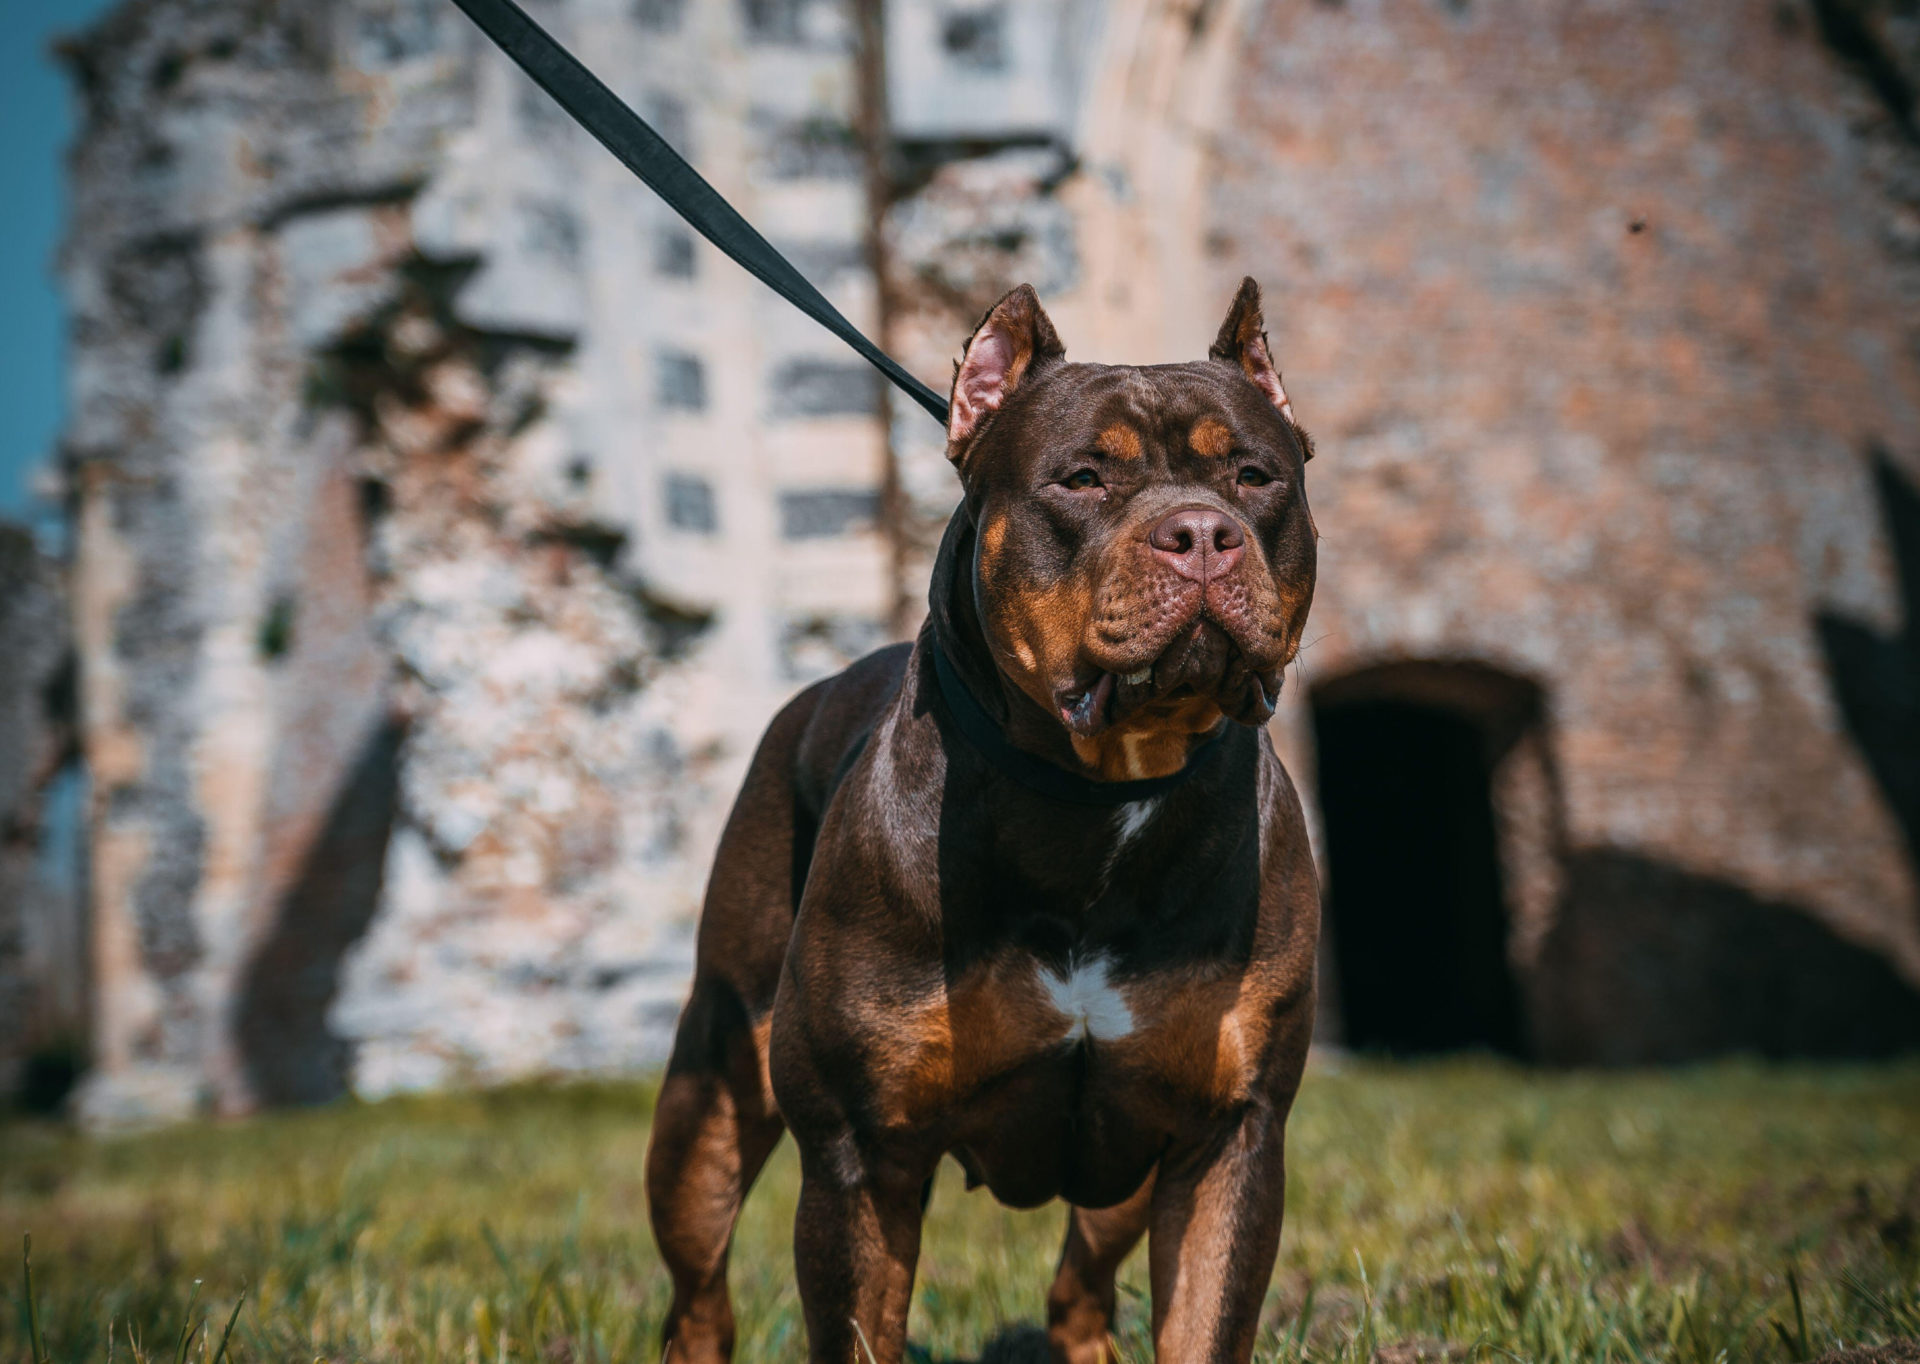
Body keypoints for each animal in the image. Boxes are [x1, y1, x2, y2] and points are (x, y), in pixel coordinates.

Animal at [645, 278, 1320, 1364]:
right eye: (1082, 479)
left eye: (1255, 476)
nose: (1203, 534)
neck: (1101, 794)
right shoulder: (860, 1151)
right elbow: (857, 1330)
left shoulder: (1229, 1133)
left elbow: (1205, 1321)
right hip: (708, 1095)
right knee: (698, 1286)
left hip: (1128, 1172)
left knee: (1080, 1282)